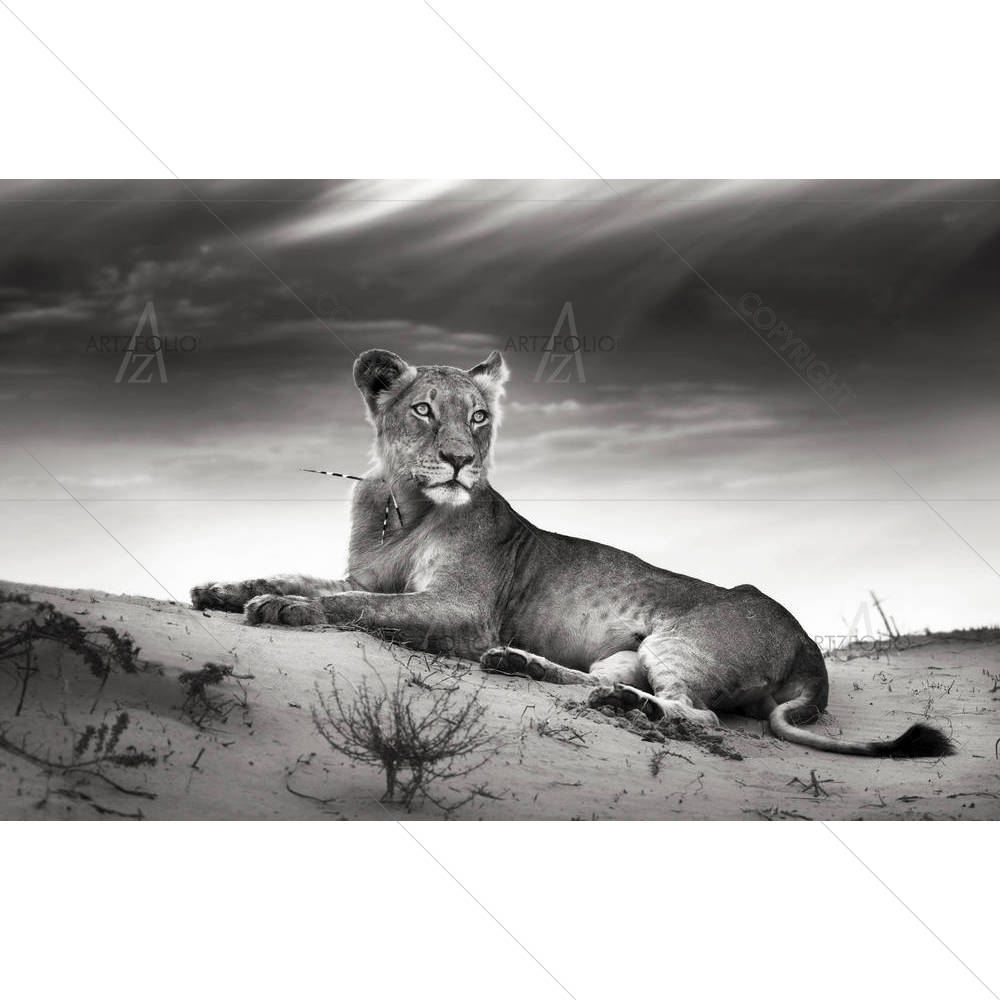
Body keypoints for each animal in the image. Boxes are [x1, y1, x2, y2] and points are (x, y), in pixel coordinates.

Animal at [192, 348, 953, 757]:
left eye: (479, 416)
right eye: (423, 410)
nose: (462, 461)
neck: (403, 505)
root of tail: (810, 652)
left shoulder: (464, 610)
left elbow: (359, 607)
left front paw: (285, 609)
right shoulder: (369, 574)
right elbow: (315, 579)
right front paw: (224, 590)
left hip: (682, 641)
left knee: (696, 714)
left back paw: (622, 707)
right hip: (626, 650)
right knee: (601, 680)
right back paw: (525, 667)